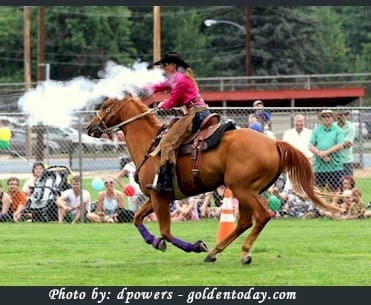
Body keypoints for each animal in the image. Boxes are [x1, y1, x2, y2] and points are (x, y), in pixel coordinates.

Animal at [86, 93, 340, 264]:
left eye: (106, 106)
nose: (90, 127)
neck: (151, 145)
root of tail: (274, 142)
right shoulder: (156, 197)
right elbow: (137, 219)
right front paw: (156, 242)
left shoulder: (159, 198)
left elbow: (165, 231)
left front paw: (194, 246)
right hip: (245, 191)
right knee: (245, 221)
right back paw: (215, 252)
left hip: (243, 189)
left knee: (261, 216)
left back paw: (241, 252)